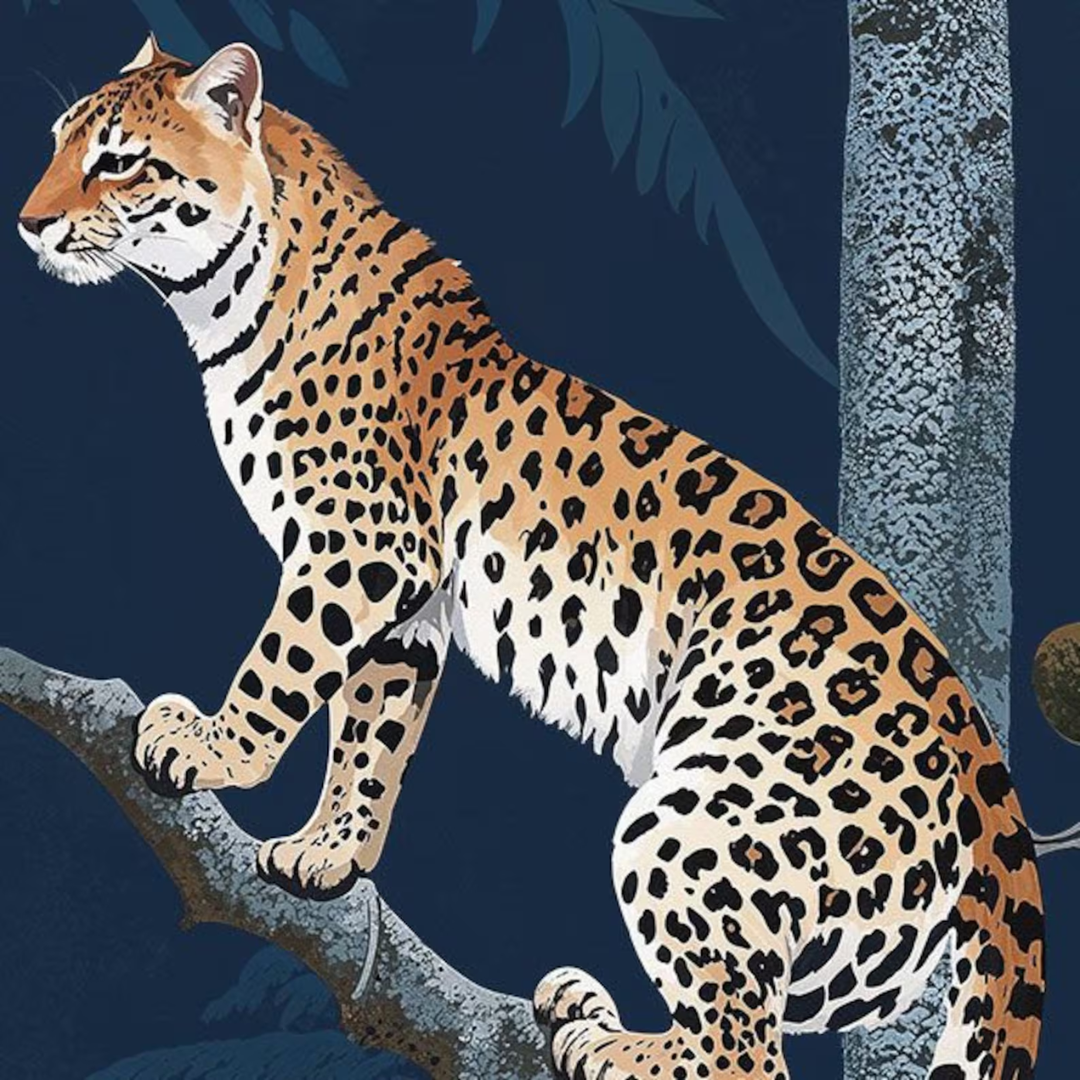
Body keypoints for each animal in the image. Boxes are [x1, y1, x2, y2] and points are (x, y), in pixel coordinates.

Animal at [19, 36, 1044, 1080]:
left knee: (741, 1051)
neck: (233, 304)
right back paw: (582, 1005)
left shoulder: (360, 545)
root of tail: (980, 760)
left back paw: (603, 1039)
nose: (28, 224)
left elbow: (281, 666)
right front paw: (330, 851)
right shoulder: (405, 596)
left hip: (691, 823)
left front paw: (211, 748)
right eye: (56, 143)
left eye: (118, 162)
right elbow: (371, 727)